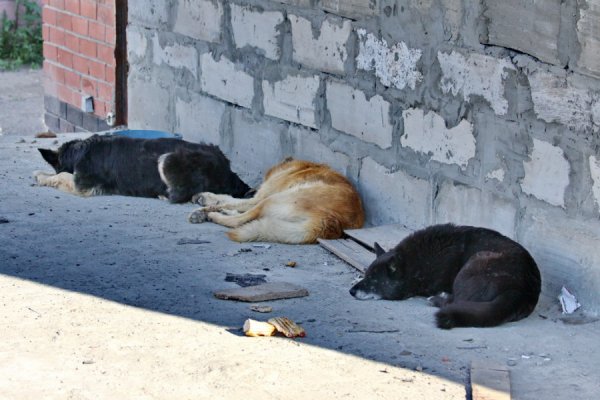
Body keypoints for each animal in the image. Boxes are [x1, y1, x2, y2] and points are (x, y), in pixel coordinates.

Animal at [34, 134, 250, 203]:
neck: (79, 150)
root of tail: (229, 171)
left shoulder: (82, 185)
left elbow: (61, 175)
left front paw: (40, 175)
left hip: (167, 158)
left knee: (181, 194)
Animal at [190, 159, 364, 244]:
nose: (249, 190)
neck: (300, 167)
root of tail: (329, 221)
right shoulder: (256, 198)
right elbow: (229, 199)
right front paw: (205, 197)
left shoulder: (259, 197)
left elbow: (231, 201)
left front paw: (205, 206)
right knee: (245, 216)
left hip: (271, 199)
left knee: (239, 220)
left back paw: (211, 214)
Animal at [350, 223, 540, 330]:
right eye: (366, 275)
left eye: (374, 280)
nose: (351, 292)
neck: (415, 262)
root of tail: (521, 290)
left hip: (477, 260)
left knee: (456, 301)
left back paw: (437, 299)